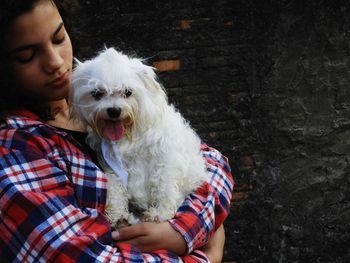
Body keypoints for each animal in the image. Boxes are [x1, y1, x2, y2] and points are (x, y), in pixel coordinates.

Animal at [71, 48, 208, 227]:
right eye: (97, 93)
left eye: (128, 92)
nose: (114, 110)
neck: (129, 136)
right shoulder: (112, 166)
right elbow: (114, 187)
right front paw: (114, 213)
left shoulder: (165, 160)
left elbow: (164, 186)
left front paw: (160, 213)